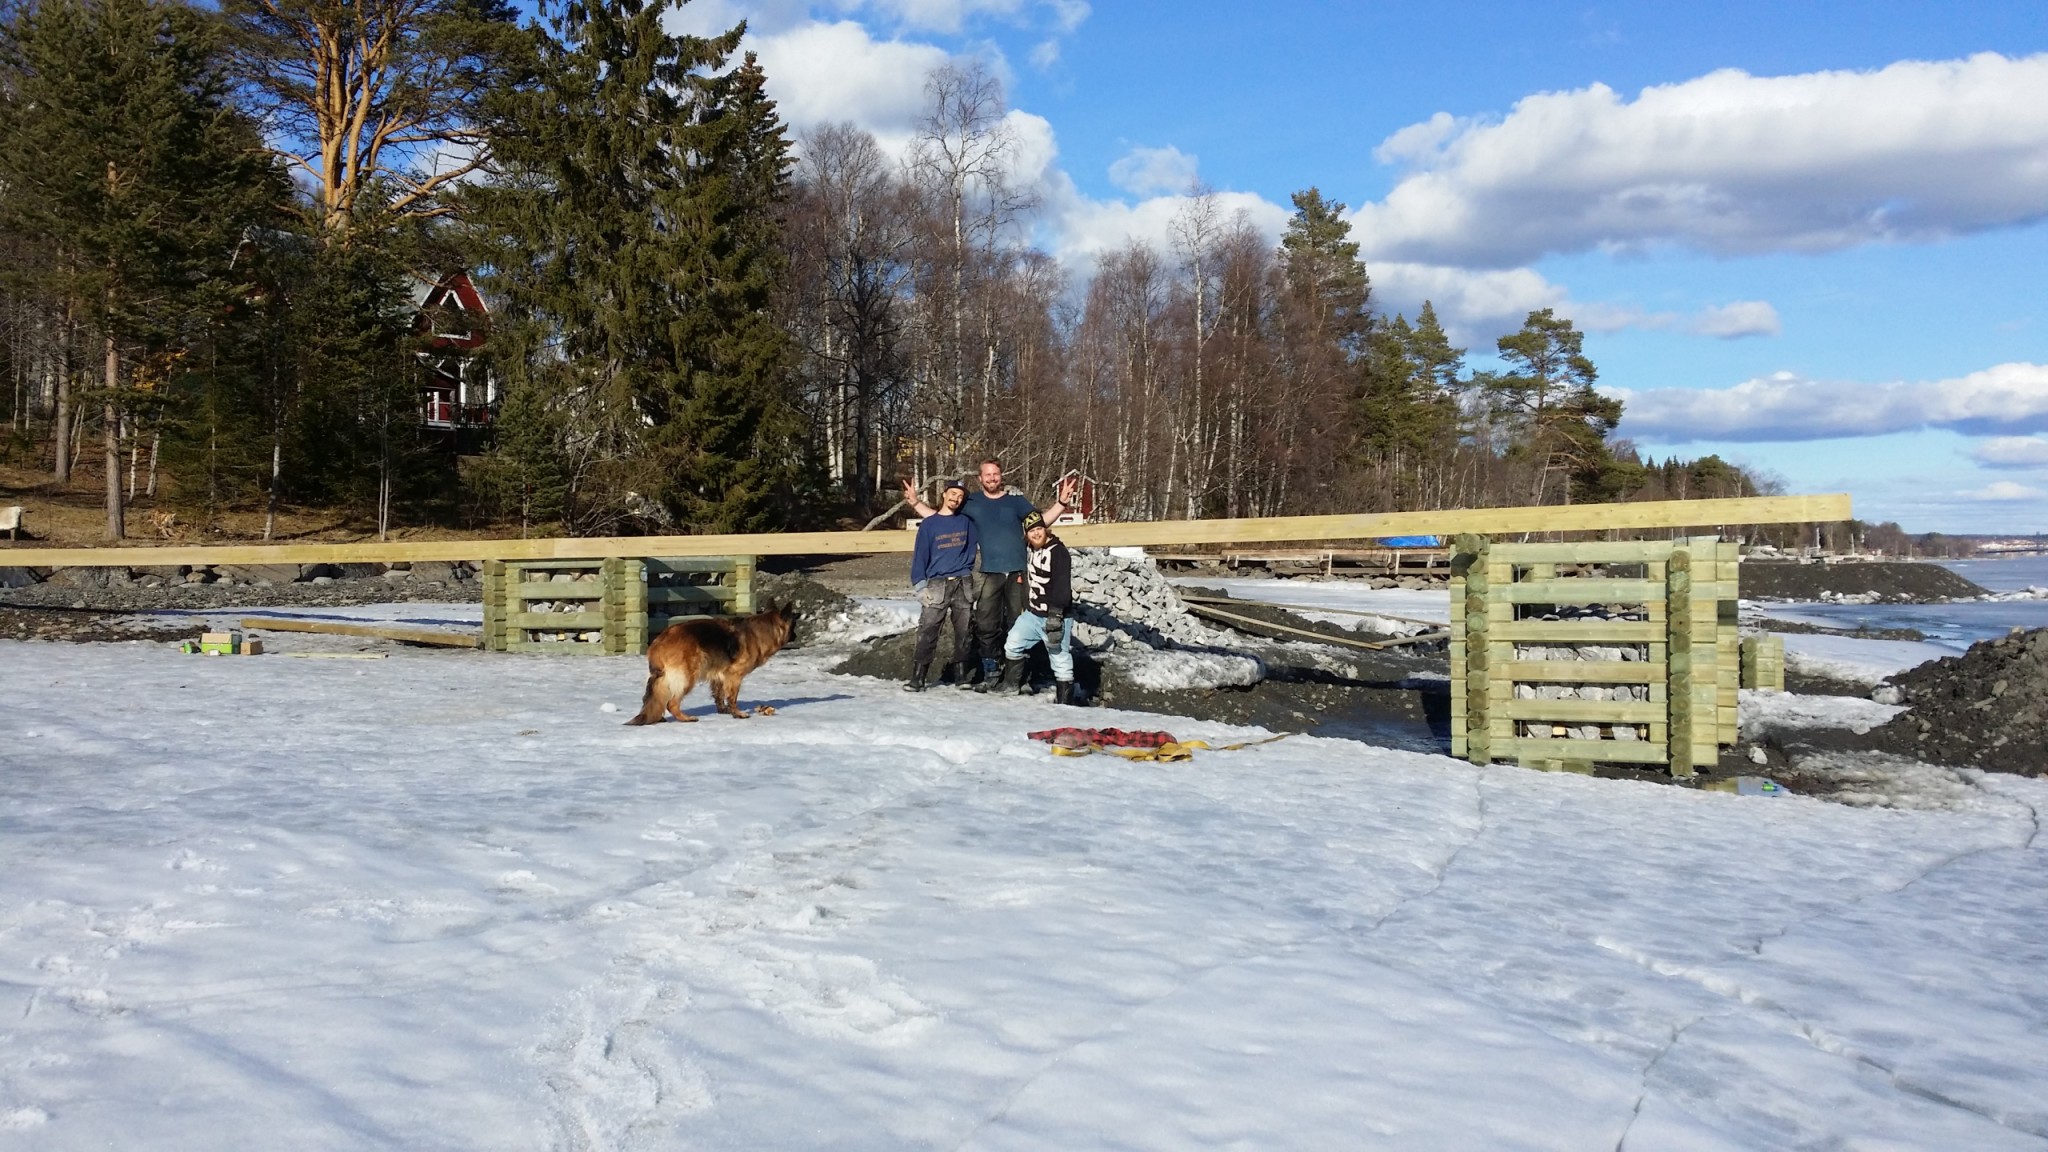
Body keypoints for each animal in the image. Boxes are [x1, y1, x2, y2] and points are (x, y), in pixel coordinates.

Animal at [626, 606, 797, 724]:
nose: (796, 636)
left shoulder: (718, 676)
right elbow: (732, 697)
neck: (758, 632)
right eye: (793, 625)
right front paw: (737, 714)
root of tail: (658, 642)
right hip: (687, 679)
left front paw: (723, 711)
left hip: (664, 678)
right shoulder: (734, 676)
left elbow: (719, 696)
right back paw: (686, 718)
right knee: (671, 703)